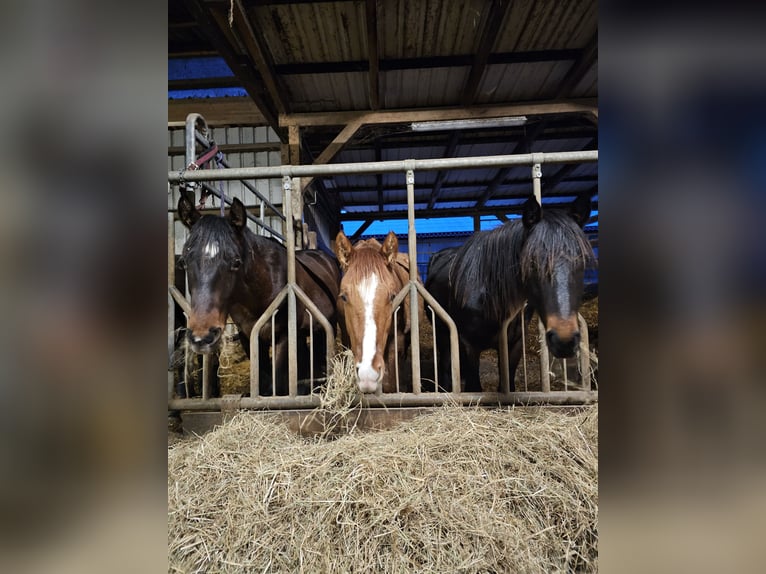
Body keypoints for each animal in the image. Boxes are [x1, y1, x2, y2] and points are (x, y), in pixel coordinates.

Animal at [178, 196, 340, 398]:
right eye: (183, 262)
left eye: (236, 262)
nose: (202, 336)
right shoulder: (248, 336)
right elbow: (263, 381)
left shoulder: (284, 336)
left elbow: (276, 385)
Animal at [428, 196, 596, 394]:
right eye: (531, 262)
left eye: (583, 260)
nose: (565, 340)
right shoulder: (469, 344)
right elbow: (474, 385)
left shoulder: (514, 344)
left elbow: (507, 383)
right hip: (442, 331)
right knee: (446, 360)